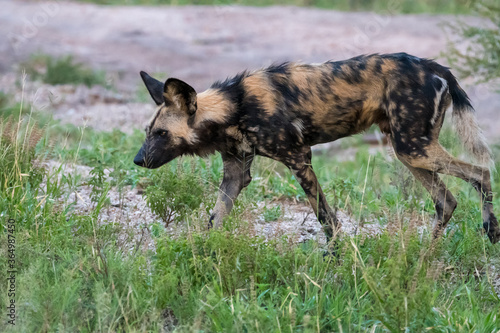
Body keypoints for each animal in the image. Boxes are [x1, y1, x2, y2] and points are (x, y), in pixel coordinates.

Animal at [134, 52, 500, 244]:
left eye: (162, 134)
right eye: (148, 132)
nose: (138, 160)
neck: (234, 105)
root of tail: (433, 65)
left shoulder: (299, 159)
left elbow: (326, 218)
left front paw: (336, 257)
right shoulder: (236, 173)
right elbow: (215, 220)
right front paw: (204, 255)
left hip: (414, 149)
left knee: (481, 172)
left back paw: (490, 233)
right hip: (411, 152)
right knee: (447, 201)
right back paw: (423, 254)